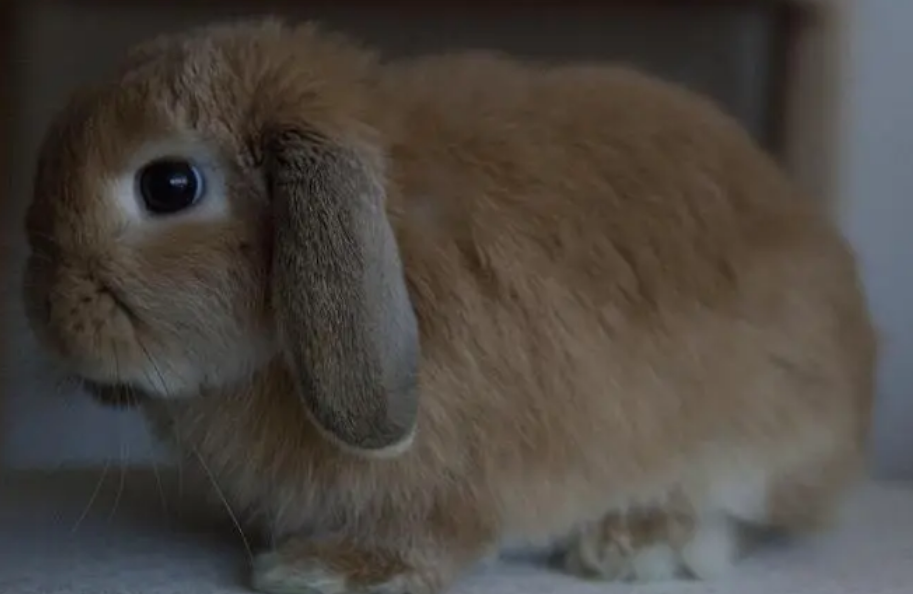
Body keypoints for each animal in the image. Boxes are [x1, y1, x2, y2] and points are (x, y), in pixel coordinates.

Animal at [22, 17, 877, 594]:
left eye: (168, 186)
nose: (44, 312)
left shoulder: (458, 477)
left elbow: (437, 533)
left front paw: (326, 570)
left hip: (755, 438)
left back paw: (635, 544)